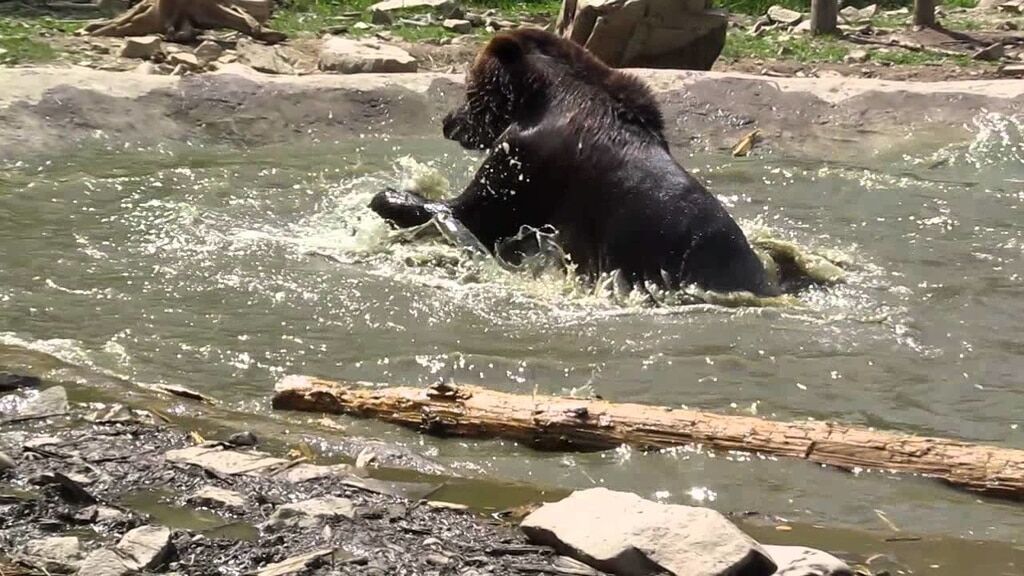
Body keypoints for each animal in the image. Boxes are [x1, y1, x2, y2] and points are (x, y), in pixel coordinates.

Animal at [368, 28, 774, 293]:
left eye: (469, 89)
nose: (448, 121)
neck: (540, 96)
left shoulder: (529, 159)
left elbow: (473, 212)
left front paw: (388, 197)